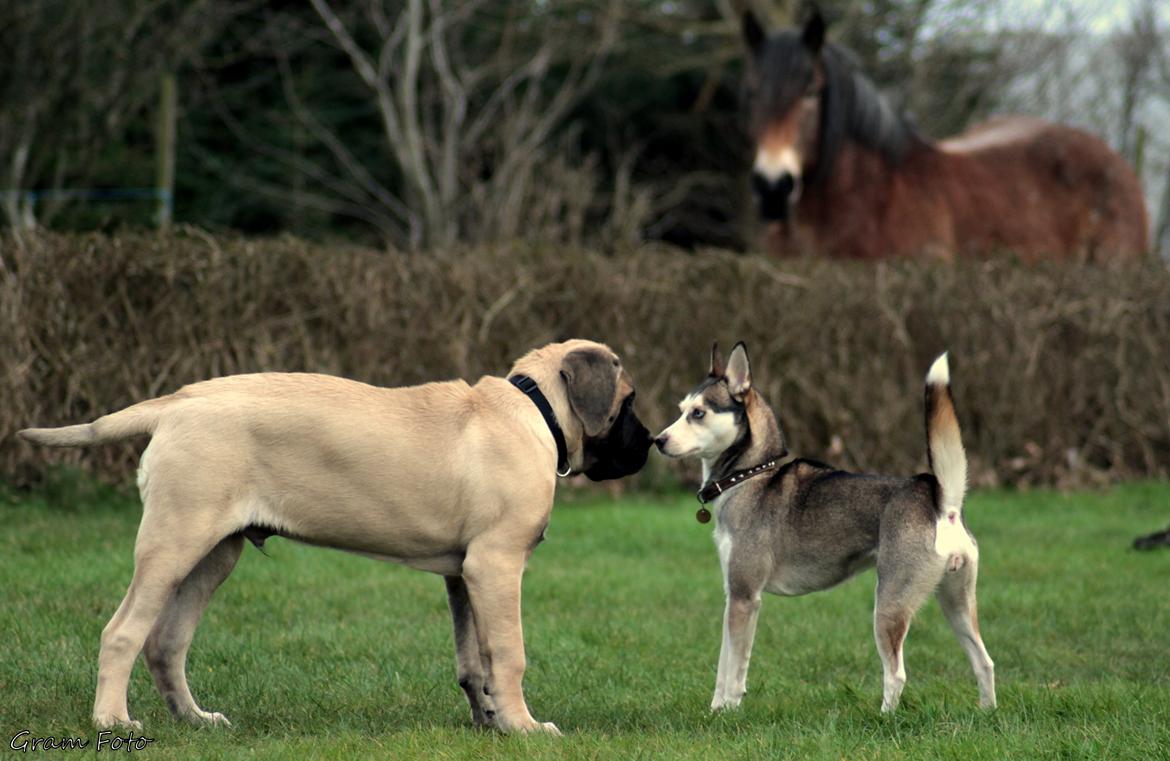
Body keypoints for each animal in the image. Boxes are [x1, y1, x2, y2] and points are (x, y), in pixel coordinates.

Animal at [18, 337, 655, 730]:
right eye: (627, 404)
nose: (649, 444)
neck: (534, 411)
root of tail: (175, 404)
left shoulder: (463, 573)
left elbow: (473, 660)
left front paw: (489, 723)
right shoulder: (496, 565)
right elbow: (510, 653)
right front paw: (524, 726)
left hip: (214, 555)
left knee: (166, 643)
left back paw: (195, 721)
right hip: (173, 542)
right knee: (123, 632)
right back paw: (111, 720)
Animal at [655, 344, 992, 711]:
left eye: (698, 413)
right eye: (681, 411)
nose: (658, 440)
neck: (750, 476)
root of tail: (941, 500)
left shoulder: (745, 597)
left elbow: (734, 669)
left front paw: (727, 710)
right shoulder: (733, 595)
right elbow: (722, 665)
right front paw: (716, 710)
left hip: (889, 605)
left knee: (896, 674)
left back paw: (884, 717)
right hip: (956, 603)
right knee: (984, 662)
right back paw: (987, 712)